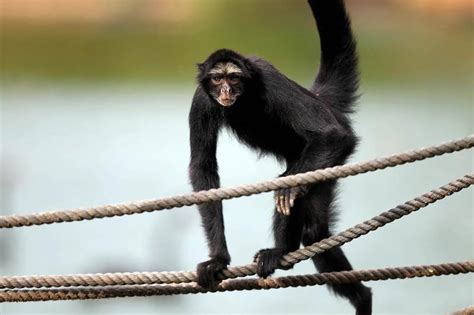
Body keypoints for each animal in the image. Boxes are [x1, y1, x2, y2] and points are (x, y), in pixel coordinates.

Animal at [188, 1, 370, 314]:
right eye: (217, 78)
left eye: (233, 78)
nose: (225, 90)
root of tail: (322, 99)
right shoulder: (202, 97)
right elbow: (203, 169)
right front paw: (218, 260)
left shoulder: (268, 77)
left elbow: (331, 134)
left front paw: (287, 190)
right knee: (315, 231)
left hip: (325, 159)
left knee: (309, 213)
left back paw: (284, 251)